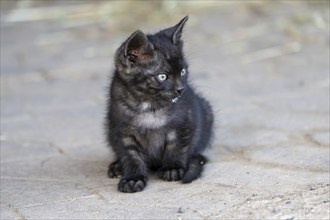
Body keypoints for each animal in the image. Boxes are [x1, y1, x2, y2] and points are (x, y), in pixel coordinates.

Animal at [105, 16, 214, 192]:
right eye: (162, 76)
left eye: (183, 71)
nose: (180, 90)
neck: (149, 106)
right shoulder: (122, 131)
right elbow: (131, 156)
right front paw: (133, 178)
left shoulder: (185, 122)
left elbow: (177, 146)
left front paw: (173, 168)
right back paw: (117, 167)